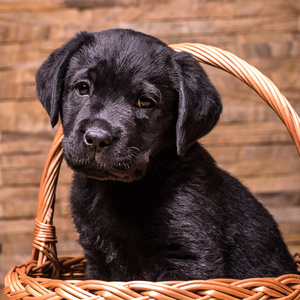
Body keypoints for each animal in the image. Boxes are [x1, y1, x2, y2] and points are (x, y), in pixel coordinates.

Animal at [35, 28, 296, 282]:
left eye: (145, 102)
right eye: (83, 88)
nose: (98, 138)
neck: (121, 191)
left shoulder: (189, 257)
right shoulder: (96, 260)